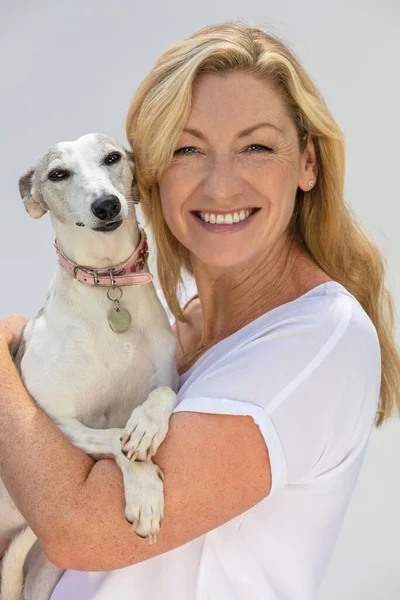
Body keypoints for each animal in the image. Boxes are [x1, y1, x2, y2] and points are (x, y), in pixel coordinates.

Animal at [0, 135, 178, 600]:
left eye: (112, 157)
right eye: (57, 174)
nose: (106, 205)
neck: (108, 283)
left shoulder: (165, 378)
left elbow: (161, 394)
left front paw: (147, 427)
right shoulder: (56, 421)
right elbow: (114, 437)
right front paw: (145, 491)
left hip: (42, 572)